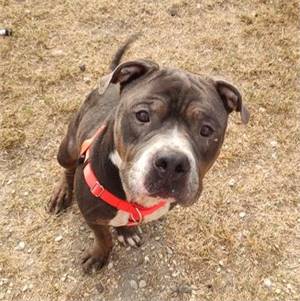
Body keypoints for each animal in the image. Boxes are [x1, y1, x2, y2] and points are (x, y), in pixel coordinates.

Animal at [48, 35, 248, 272]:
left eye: (207, 130)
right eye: (142, 115)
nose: (172, 163)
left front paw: (126, 231)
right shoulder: (92, 216)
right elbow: (103, 237)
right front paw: (99, 255)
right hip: (68, 148)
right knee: (67, 168)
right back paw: (61, 193)